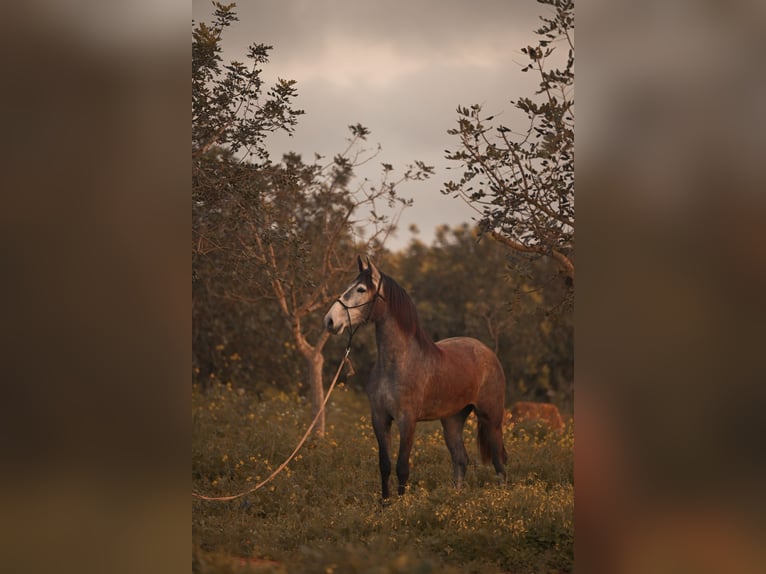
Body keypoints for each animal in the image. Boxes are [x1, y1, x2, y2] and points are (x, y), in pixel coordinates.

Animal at [326, 258, 510, 502]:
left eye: (361, 289)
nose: (329, 321)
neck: (398, 362)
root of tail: (488, 352)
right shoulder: (380, 418)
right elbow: (385, 465)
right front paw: (385, 504)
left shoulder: (407, 420)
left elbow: (402, 467)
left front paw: (402, 505)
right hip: (452, 420)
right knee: (460, 459)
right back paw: (454, 498)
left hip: (491, 418)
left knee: (499, 462)